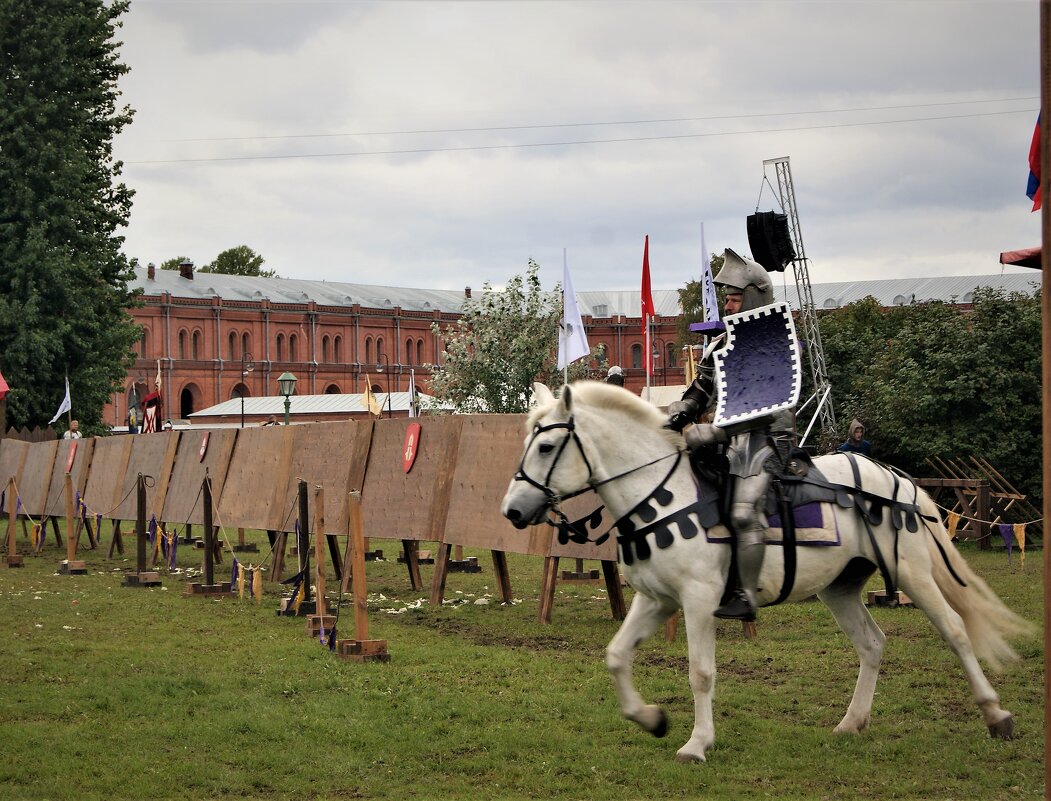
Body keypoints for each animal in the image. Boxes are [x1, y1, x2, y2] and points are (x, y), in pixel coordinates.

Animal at [500, 380, 1034, 761]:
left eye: (545, 448)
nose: (513, 511)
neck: (658, 492)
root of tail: (895, 478)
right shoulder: (657, 601)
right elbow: (616, 655)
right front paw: (651, 719)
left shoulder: (697, 601)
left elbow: (700, 672)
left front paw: (696, 744)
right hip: (841, 587)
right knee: (872, 644)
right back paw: (852, 723)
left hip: (913, 574)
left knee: (956, 631)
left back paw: (996, 715)